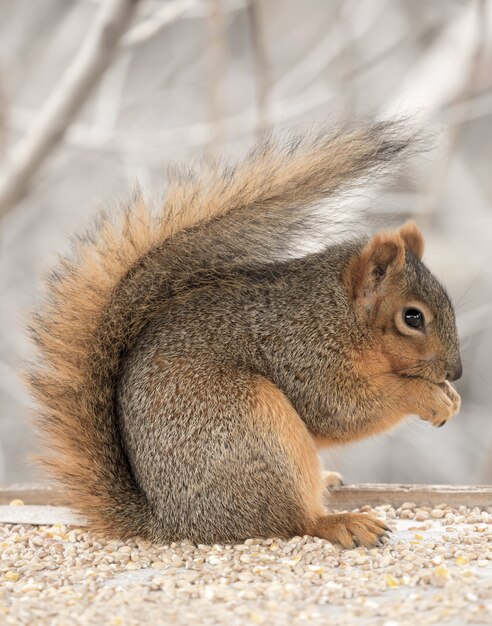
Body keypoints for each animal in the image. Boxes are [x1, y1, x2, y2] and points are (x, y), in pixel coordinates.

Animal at [26, 120, 462, 544]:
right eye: (412, 318)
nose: (455, 372)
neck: (336, 314)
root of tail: (174, 522)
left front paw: (450, 397)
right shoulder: (302, 353)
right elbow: (341, 410)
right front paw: (425, 396)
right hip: (250, 427)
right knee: (294, 520)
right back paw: (342, 523)